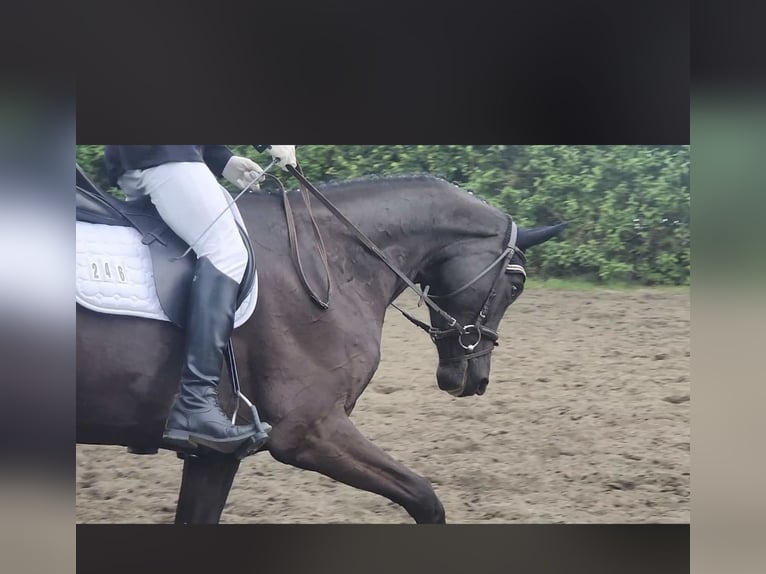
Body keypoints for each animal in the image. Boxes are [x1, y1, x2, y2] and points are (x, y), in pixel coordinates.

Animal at [76, 173, 566, 524]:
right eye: (516, 285)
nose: (474, 380)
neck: (329, 259)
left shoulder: (215, 457)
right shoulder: (310, 432)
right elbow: (426, 500)